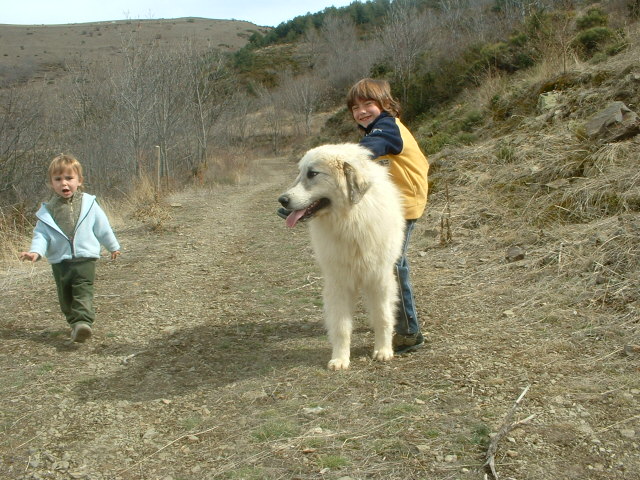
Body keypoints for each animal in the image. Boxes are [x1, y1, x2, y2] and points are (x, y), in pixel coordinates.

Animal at [278, 144, 402, 370]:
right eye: (300, 174)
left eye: (312, 174)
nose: (282, 200)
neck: (350, 220)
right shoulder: (338, 282)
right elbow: (341, 325)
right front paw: (340, 359)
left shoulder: (378, 278)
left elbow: (383, 316)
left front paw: (383, 350)